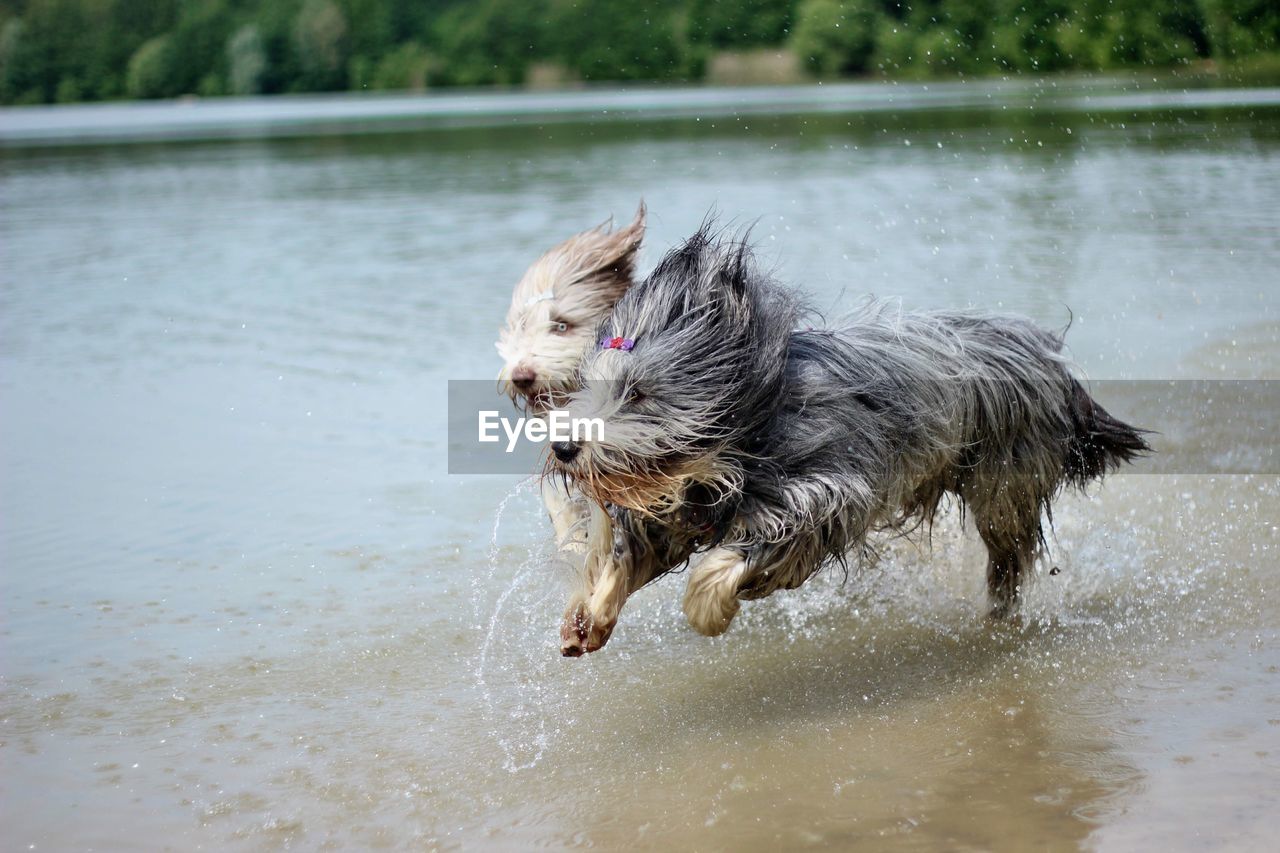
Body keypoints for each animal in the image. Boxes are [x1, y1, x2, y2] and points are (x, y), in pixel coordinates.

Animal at [545, 225, 1146, 650]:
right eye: (587, 385)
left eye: (639, 392)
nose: (564, 447)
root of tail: (1053, 359)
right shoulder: (683, 507)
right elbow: (631, 554)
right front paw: (588, 619)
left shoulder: (829, 490)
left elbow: (744, 555)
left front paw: (709, 606)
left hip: (1004, 483)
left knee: (1008, 557)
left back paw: (998, 619)